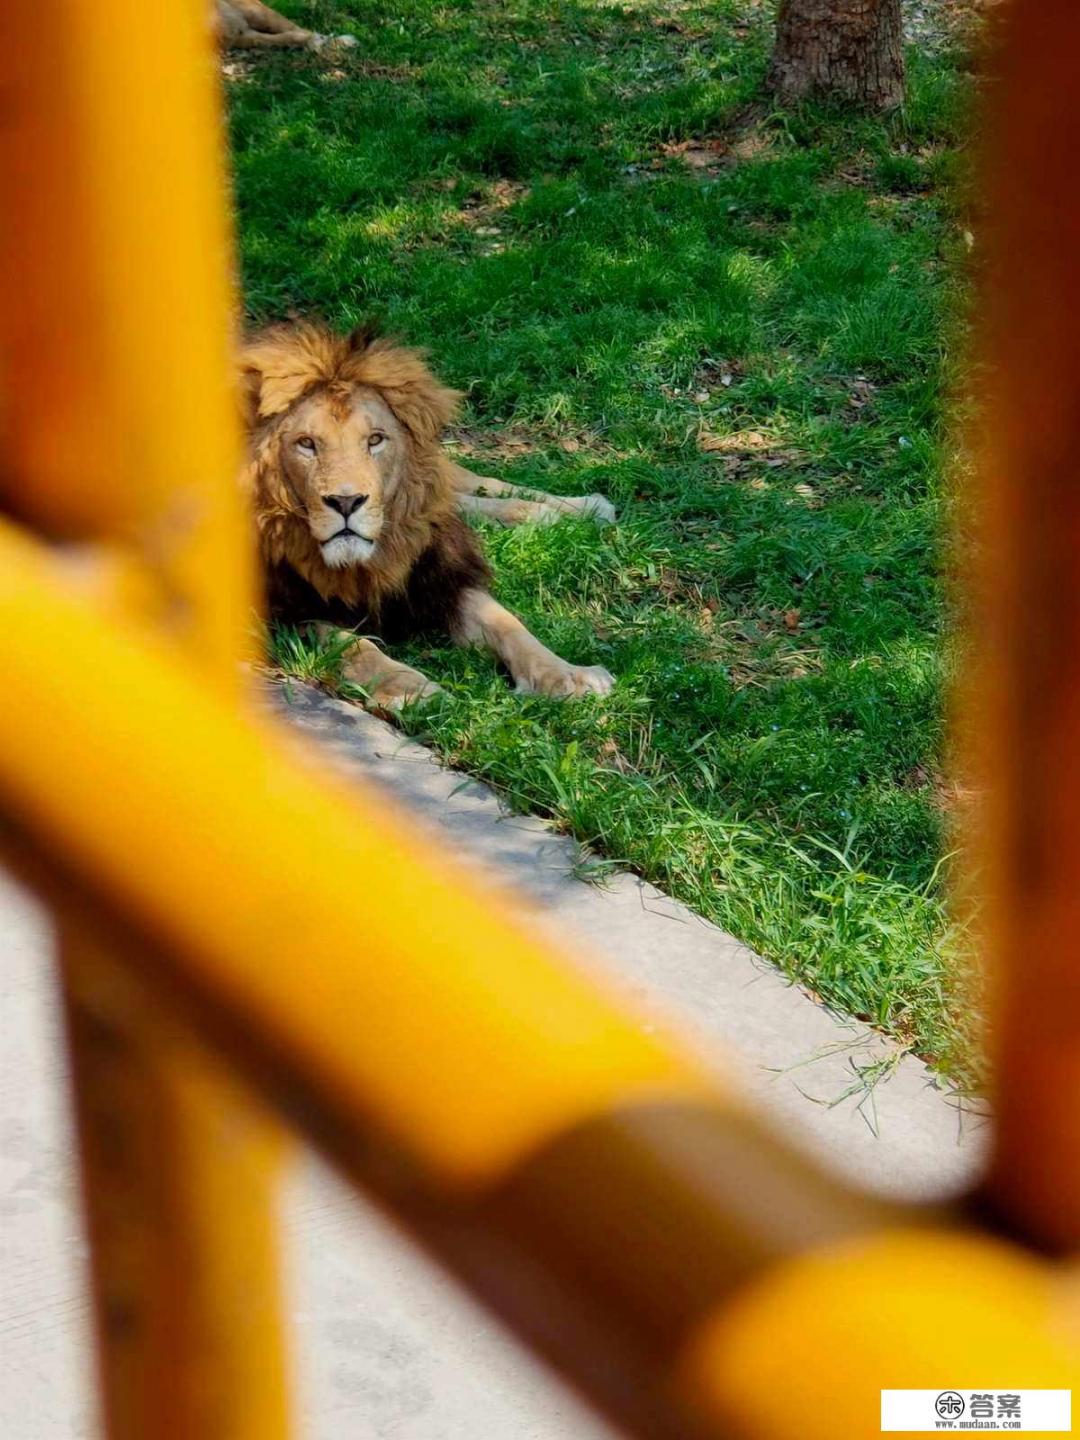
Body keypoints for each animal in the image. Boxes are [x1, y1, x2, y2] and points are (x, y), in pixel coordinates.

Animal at [244, 324, 616, 711]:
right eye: (306, 443)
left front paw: (567, 675)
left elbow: (507, 623)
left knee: (476, 486)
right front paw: (410, 689)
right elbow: (352, 645)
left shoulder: (437, 573)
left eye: (375, 440)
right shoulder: (286, 609)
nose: (346, 502)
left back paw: (583, 509)